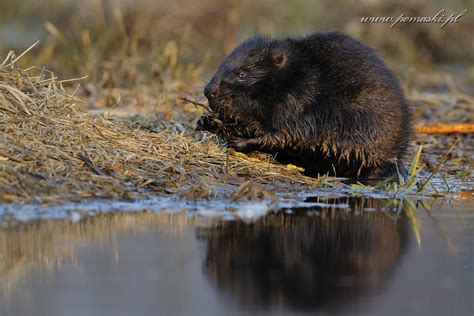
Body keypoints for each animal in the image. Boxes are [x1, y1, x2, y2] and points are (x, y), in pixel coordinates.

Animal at [196, 33, 412, 180]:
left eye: (242, 73)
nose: (209, 91)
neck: (294, 76)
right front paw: (206, 121)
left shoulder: (300, 100)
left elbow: (290, 134)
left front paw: (238, 142)